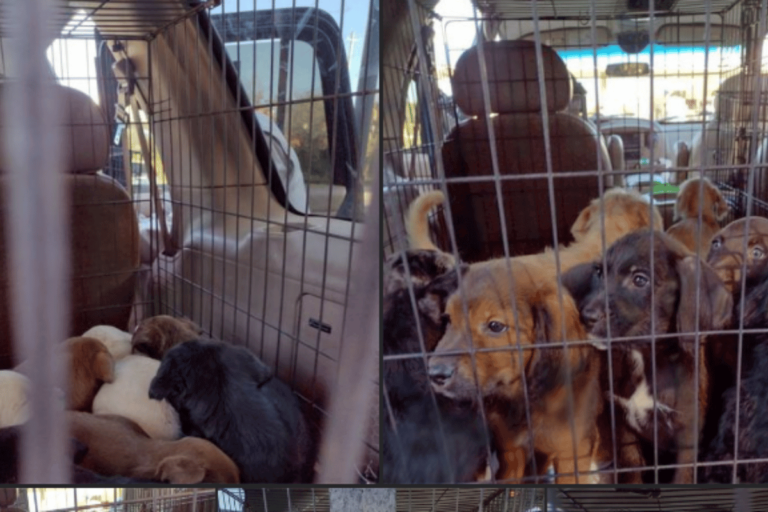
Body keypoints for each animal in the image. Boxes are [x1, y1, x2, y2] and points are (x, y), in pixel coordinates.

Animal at [428, 264, 604, 484]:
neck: (526, 398)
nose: (435, 374)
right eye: (449, 319)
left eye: (495, 326)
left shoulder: (573, 451)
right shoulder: (511, 451)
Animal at [584, 230, 732, 482]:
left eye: (640, 280)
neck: (645, 358)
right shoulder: (622, 422)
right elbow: (632, 465)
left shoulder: (687, 434)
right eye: (600, 273)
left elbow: (683, 476)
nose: (586, 316)